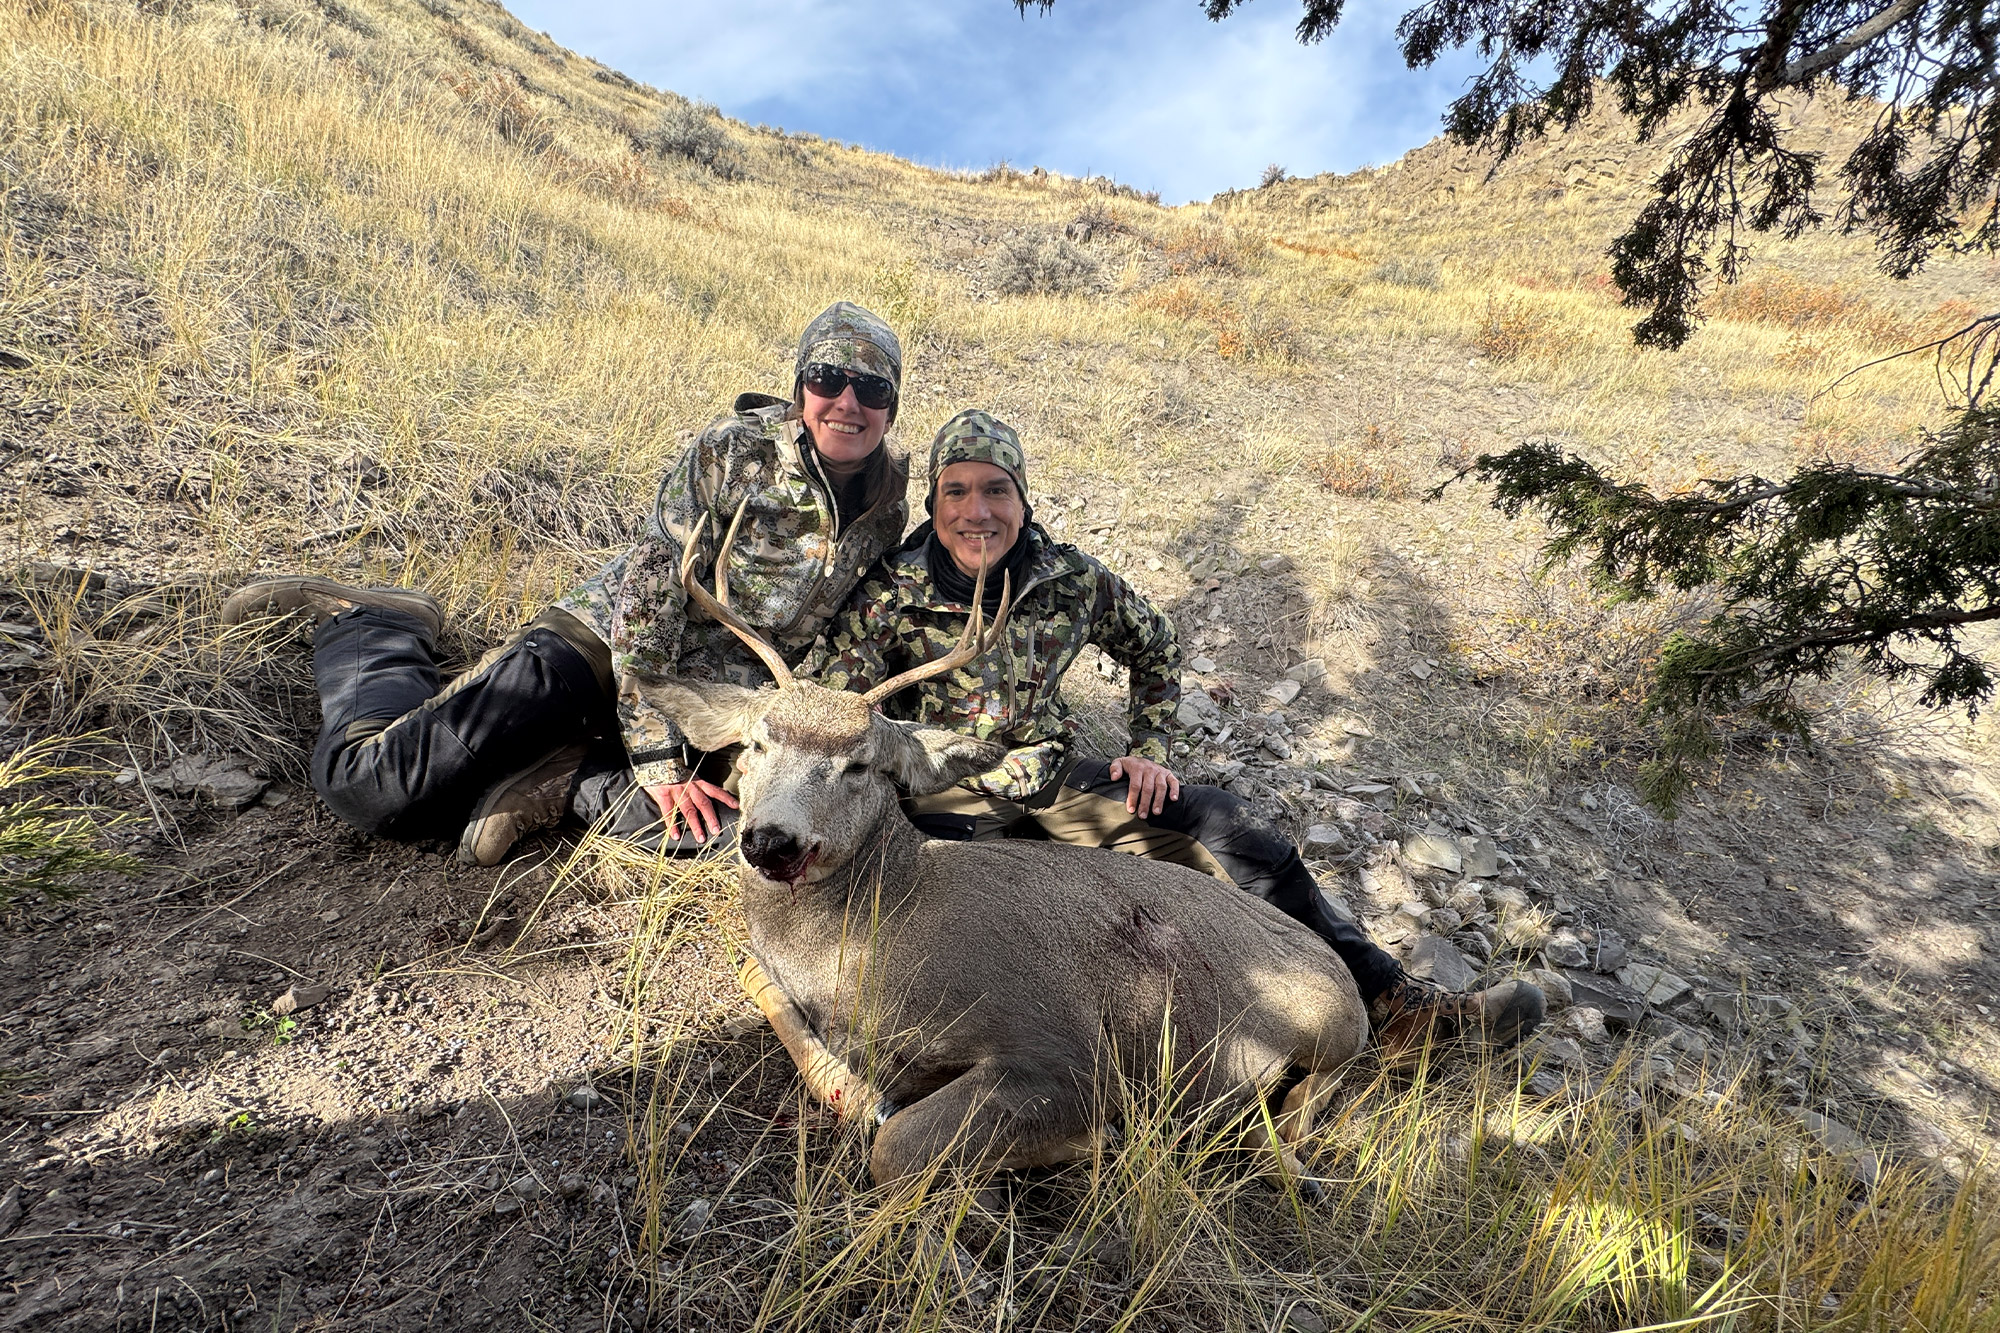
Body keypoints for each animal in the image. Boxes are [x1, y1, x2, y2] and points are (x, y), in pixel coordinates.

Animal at [639, 502, 1369, 1189]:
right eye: (757, 744)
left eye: (861, 765)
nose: (772, 840)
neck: (878, 936)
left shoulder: (1062, 1048)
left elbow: (891, 1145)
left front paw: (1089, 1142)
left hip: (1328, 1022)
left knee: (1301, 1110)